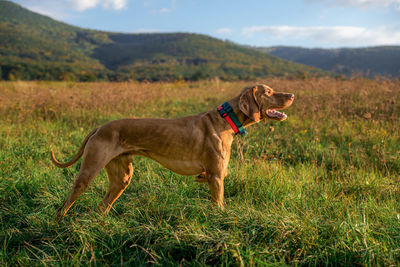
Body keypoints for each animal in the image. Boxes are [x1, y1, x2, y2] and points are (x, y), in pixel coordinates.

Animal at [50, 85, 294, 221]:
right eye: (269, 92)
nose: (292, 95)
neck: (227, 117)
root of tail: (99, 127)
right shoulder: (216, 177)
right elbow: (219, 205)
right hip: (88, 173)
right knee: (66, 204)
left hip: (122, 177)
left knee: (102, 207)